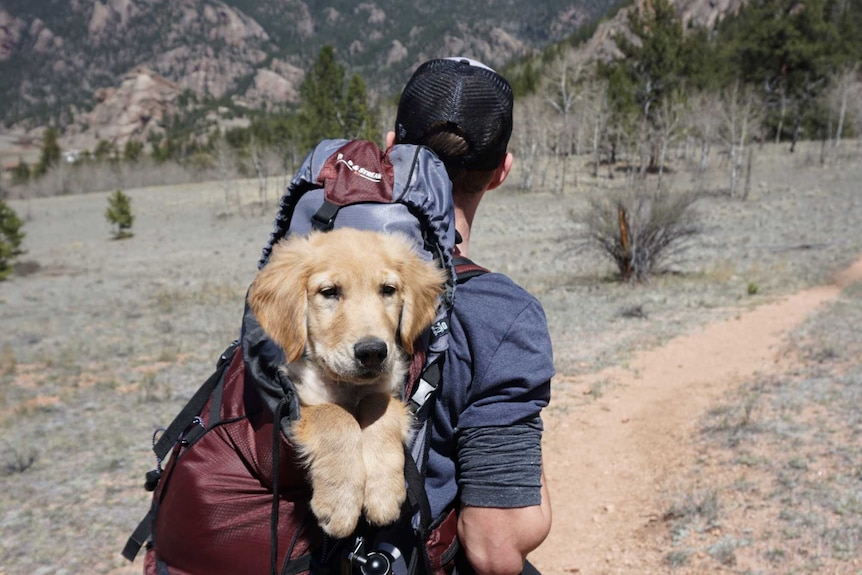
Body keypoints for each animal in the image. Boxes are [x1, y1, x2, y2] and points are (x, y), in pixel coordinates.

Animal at [245, 227, 442, 536]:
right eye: (329, 292)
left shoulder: (390, 389)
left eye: (387, 290)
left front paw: (383, 493)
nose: (373, 352)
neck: (349, 387)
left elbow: (379, 407)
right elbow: (335, 415)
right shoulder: (300, 399)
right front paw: (340, 502)